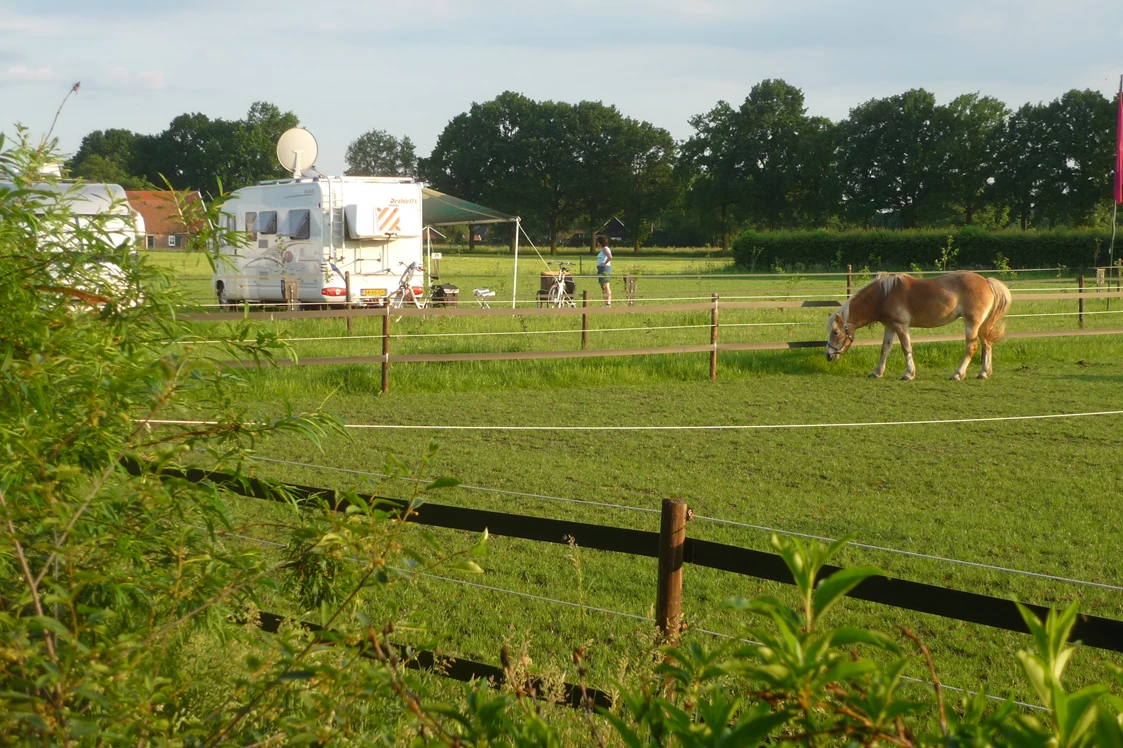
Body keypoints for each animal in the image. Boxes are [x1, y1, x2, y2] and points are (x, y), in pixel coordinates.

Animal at [826, 270, 1010, 379]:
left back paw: (958, 374)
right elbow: (885, 349)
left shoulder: (901, 326)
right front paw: (877, 372)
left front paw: (909, 373)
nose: (828, 355)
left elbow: (906, 348)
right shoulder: (890, 327)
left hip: (971, 323)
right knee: (987, 344)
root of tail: (986, 281)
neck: (884, 295)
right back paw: (984, 373)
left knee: (971, 347)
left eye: (835, 332)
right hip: (981, 325)